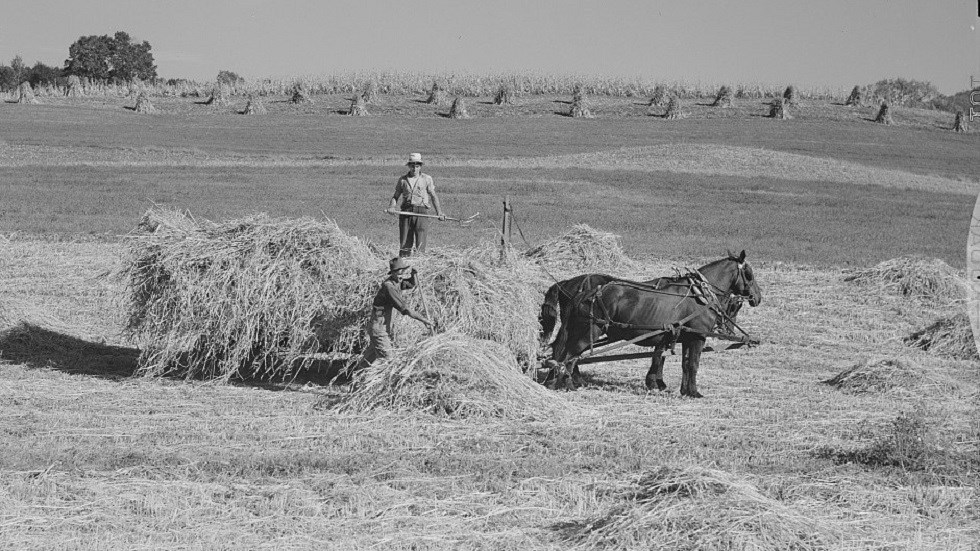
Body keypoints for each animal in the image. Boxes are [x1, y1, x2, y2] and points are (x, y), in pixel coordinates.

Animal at [548, 252, 760, 398]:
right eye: (749, 274)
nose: (757, 297)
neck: (700, 296)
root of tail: (586, 292)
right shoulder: (697, 337)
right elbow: (692, 364)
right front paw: (693, 392)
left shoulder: (684, 336)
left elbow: (681, 363)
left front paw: (681, 389)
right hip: (587, 333)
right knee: (568, 357)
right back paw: (568, 384)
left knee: (565, 355)